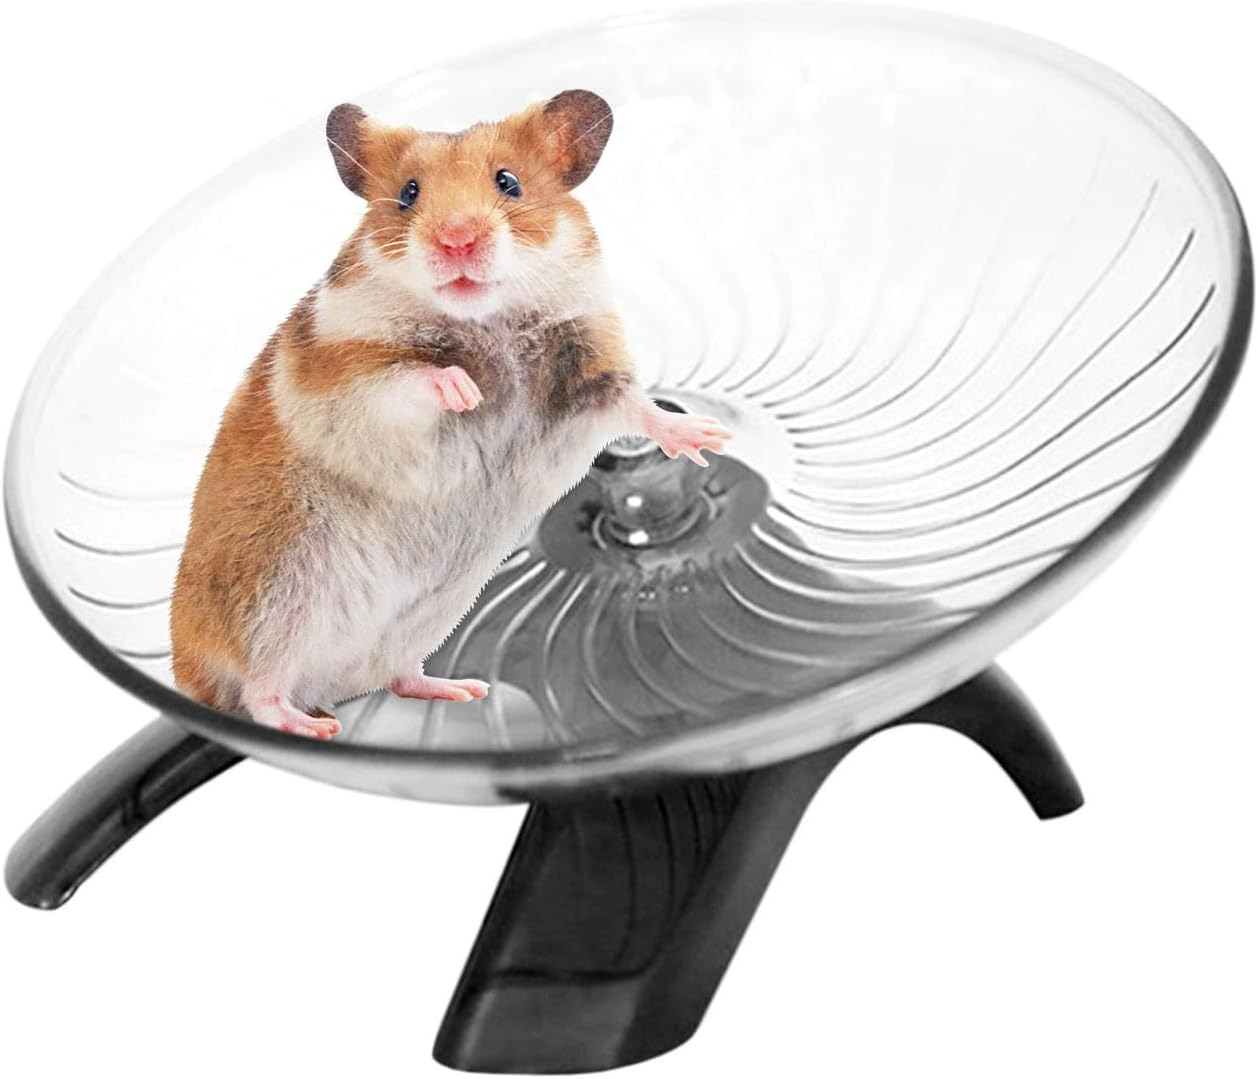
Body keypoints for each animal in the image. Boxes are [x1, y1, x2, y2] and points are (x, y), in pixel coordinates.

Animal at [169, 89, 733, 739]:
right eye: (408, 193)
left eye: (509, 182)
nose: (457, 240)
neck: (487, 319)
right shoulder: (347, 378)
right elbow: (410, 379)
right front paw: (465, 391)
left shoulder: (591, 368)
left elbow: (638, 407)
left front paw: (709, 437)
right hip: (276, 597)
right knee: (260, 691)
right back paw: (314, 728)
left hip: (423, 617)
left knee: (395, 677)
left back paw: (462, 689)